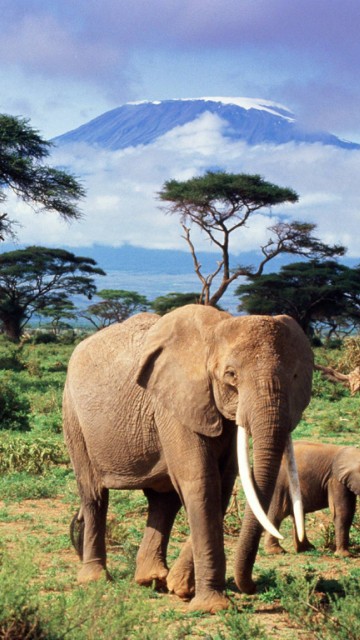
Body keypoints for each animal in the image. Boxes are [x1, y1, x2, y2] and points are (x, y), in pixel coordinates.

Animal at [62, 302, 312, 612]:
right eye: (231, 375)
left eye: (295, 377)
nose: (252, 587)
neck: (216, 331)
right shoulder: (175, 402)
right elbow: (202, 481)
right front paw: (212, 607)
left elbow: (222, 484)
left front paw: (181, 588)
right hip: (73, 415)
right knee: (95, 494)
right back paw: (96, 579)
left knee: (163, 500)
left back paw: (152, 579)